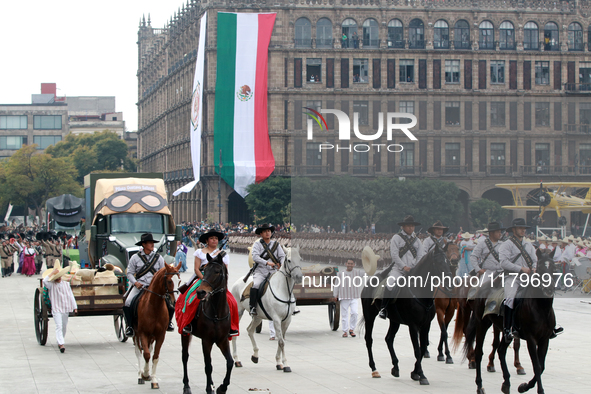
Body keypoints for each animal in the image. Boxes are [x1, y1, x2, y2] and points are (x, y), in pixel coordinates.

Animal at [134, 260, 182, 390]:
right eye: (169, 281)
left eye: (179, 281)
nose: (175, 302)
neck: (154, 306)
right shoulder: (142, 333)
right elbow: (146, 354)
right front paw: (145, 374)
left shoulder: (160, 335)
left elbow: (155, 356)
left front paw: (154, 380)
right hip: (135, 334)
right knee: (138, 352)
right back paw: (140, 375)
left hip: (151, 336)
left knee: (149, 349)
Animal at [183, 252, 234, 394]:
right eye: (204, 270)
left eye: (217, 271)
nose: (200, 292)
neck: (216, 313)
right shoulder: (206, 341)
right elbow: (208, 366)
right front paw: (209, 389)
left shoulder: (222, 340)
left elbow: (230, 362)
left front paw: (222, 387)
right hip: (184, 333)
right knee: (185, 357)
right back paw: (186, 386)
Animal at [356, 246, 458, 384]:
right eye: (438, 262)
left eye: (448, 262)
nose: (450, 284)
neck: (420, 291)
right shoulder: (413, 325)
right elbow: (417, 350)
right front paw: (422, 375)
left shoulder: (426, 324)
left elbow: (422, 348)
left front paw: (415, 373)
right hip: (369, 316)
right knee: (369, 339)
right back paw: (374, 369)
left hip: (395, 320)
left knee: (389, 339)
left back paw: (395, 367)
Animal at [462, 249, 560, 394]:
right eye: (540, 269)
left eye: (554, 268)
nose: (549, 289)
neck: (541, 308)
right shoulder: (531, 339)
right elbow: (536, 366)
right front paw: (537, 389)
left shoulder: (545, 339)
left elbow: (541, 366)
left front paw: (523, 386)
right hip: (482, 324)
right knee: (479, 353)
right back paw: (480, 386)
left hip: (505, 331)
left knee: (501, 350)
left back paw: (506, 383)